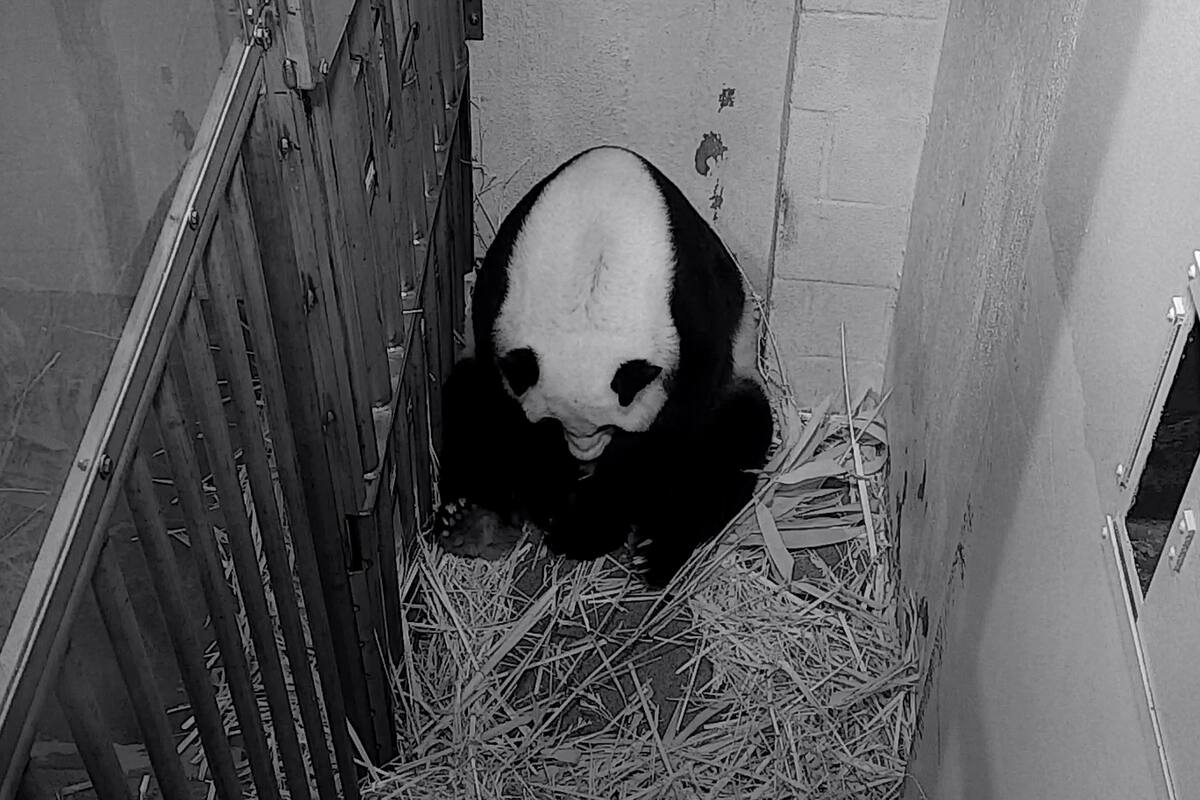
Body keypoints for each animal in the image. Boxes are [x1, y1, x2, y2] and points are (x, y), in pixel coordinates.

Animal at [433, 145, 774, 587]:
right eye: (554, 422)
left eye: (610, 426)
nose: (584, 455)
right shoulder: (499, 297)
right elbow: (506, 417)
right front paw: (553, 500)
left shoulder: (691, 312)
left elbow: (669, 432)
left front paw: (585, 527)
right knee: (468, 404)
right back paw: (470, 522)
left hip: (740, 377)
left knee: (731, 442)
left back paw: (656, 550)